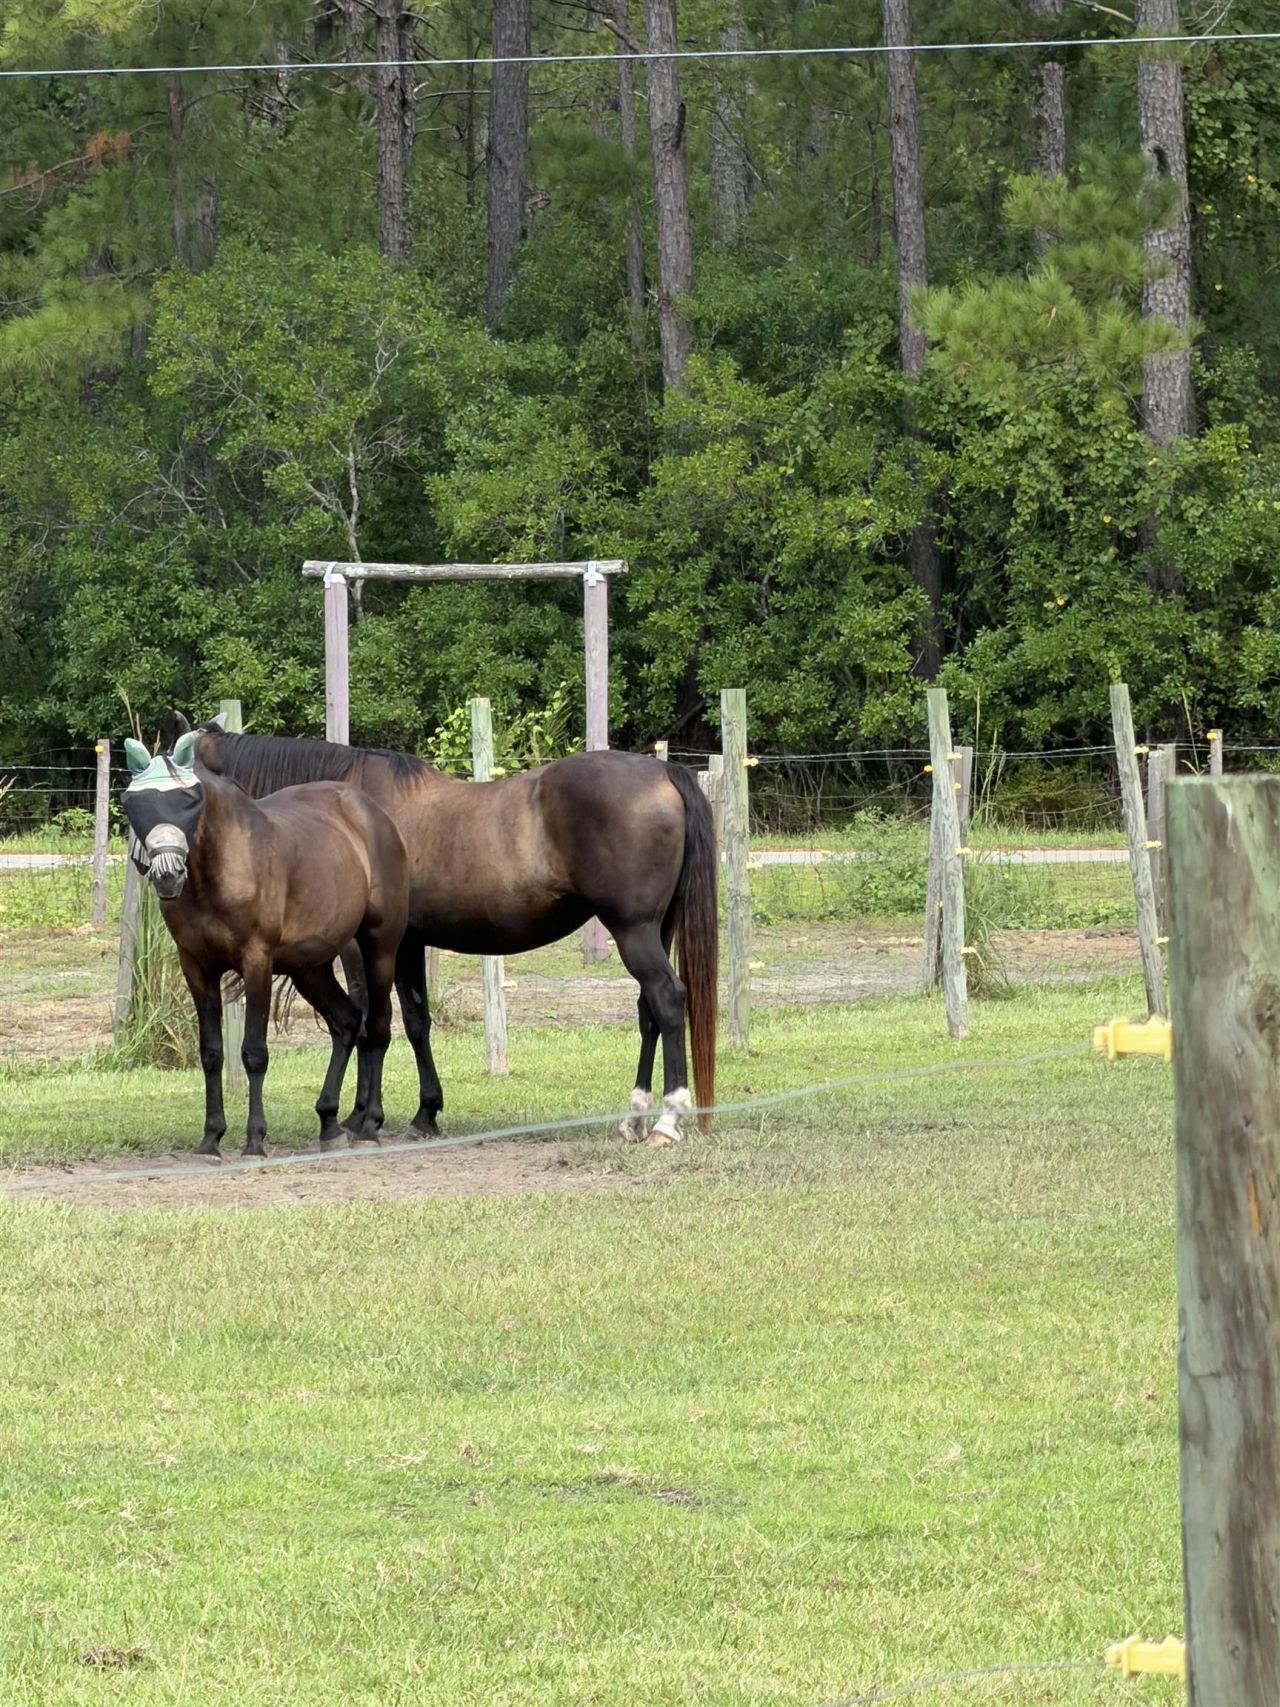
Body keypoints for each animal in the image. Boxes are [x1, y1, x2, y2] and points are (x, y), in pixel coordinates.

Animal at [121, 731, 409, 1157]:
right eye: (134, 802)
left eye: (189, 799)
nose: (167, 874)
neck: (217, 871)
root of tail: (374, 814)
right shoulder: (196, 966)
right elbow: (212, 1053)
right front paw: (211, 1138)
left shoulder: (256, 961)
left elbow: (253, 1053)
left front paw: (254, 1138)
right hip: (310, 968)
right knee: (345, 1022)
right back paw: (329, 1122)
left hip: (378, 947)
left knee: (377, 1025)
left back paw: (369, 1123)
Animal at [184, 720, 718, 1146]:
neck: (341, 817)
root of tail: (664, 773)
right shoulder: (409, 945)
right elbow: (416, 1021)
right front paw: (424, 1112)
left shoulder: (367, 948)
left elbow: (369, 1021)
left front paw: (362, 1117)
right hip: (655, 931)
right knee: (649, 1011)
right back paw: (635, 1117)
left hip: (633, 931)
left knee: (668, 999)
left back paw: (667, 1120)